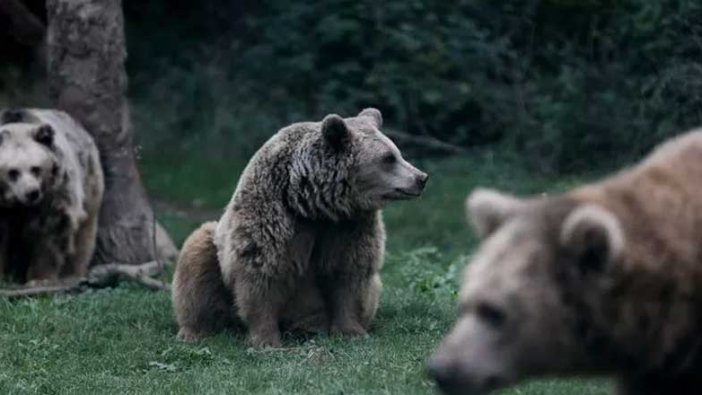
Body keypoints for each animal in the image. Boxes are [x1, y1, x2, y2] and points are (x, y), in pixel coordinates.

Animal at [0, 109, 104, 284]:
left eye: (36, 168)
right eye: (13, 172)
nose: (32, 193)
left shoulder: (54, 192)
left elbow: (51, 232)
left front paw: (39, 278)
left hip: (89, 184)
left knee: (83, 236)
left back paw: (73, 273)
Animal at [173, 108, 428, 346]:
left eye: (397, 152)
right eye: (388, 158)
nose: (421, 178)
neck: (314, 204)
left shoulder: (349, 225)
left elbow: (349, 274)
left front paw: (352, 331)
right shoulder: (274, 214)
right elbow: (261, 273)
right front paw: (266, 339)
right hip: (216, 245)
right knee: (197, 257)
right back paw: (193, 330)